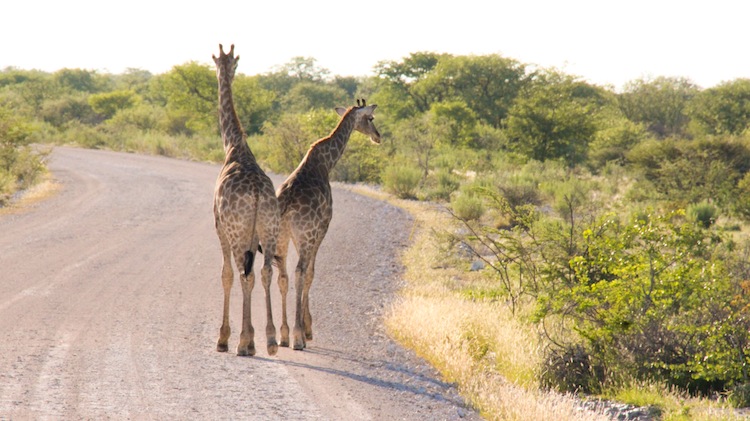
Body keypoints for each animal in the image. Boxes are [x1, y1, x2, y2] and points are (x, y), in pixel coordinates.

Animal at [276, 98, 382, 348]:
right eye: (370, 118)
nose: (378, 136)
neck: (326, 163)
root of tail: (285, 206)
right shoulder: (321, 229)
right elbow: (310, 273)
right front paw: (308, 330)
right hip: (304, 236)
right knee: (299, 272)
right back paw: (297, 337)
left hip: (280, 237)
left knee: (282, 276)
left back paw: (283, 335)